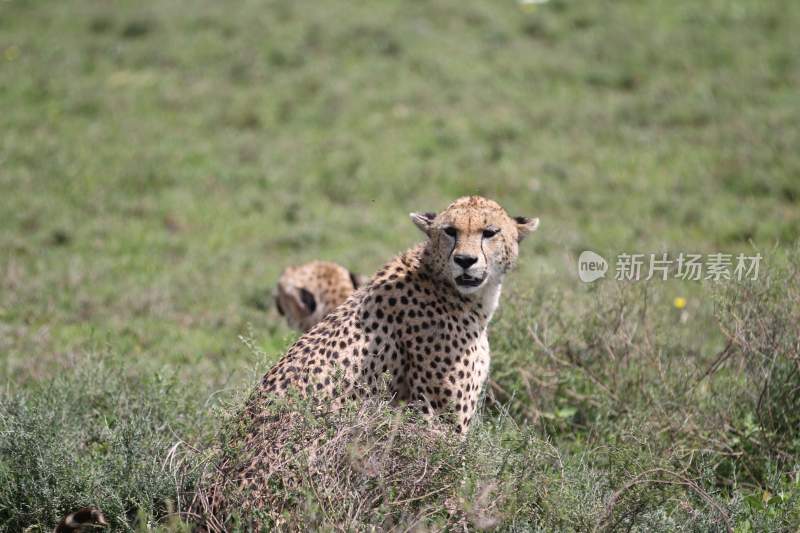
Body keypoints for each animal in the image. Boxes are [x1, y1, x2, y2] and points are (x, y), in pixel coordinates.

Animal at [195, 194, 536, 524]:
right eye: (450, 231)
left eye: (489, 232)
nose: (465, 260)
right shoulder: (440, 420)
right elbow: (448, 476)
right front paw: (455, 515)